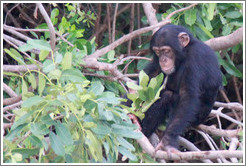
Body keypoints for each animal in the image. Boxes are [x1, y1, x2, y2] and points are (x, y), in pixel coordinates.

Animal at [134, 24, 222, 153]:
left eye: (166, 51)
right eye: (158, 52)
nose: (163, 60)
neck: (185, 52)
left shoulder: (196, 57)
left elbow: (187, 96)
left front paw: (167, 141)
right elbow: (150, 77)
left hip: (197, 118)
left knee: (167, 96)